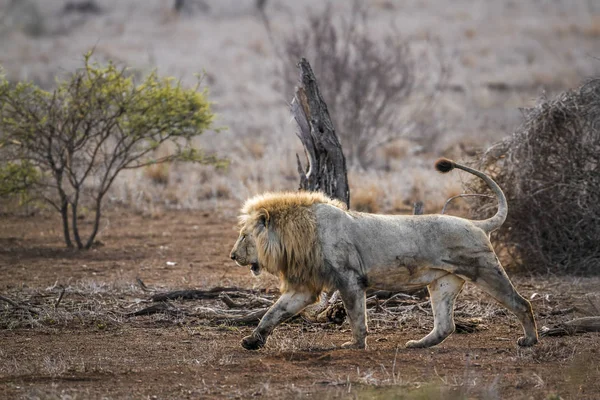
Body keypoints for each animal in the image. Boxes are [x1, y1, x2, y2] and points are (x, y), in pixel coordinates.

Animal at [230, 159, 540, 350]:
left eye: (244, 236)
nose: (233, 256)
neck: (295, 236)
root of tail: (477, 224)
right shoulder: (305, 286)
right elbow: (273, 312)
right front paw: (252, 341)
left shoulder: (350, 279)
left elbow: (357, 317)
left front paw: (355, 345)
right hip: (442, 283)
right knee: (446, 325)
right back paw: (418, 344)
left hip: (485, 270)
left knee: (522, 303)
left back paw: (529, 340)